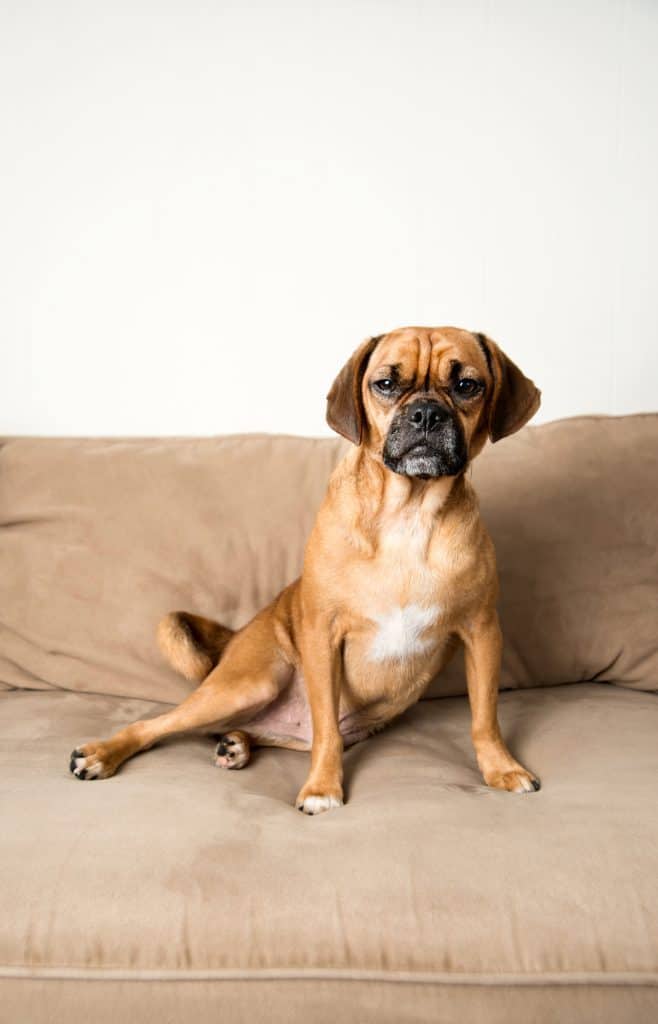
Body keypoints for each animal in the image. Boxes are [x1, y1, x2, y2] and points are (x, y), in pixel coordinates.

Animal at [70, 323, 544, 811]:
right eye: (386, 383)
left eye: (467, 385)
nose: (426, 415)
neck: (408, 513)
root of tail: (236, 638)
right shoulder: (323, 635)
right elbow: (326, 731)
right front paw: (322, 787)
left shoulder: (482, 632)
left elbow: (484, 718)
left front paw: (501, 768)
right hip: (248, 683)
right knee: (155, 726)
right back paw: (103, 753)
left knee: (252, 731)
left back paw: (237, 743)